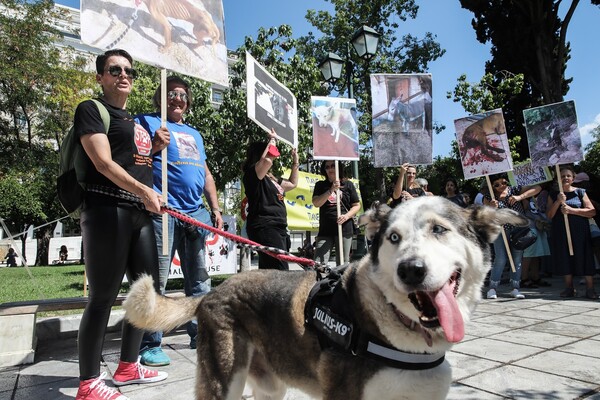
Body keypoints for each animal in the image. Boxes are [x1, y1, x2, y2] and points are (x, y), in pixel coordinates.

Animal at [123, 197, 524, 400]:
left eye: (439, 230)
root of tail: (213, 292)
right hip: (225, 380)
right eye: (393, 238)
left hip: (271, 386)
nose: (410, 270)